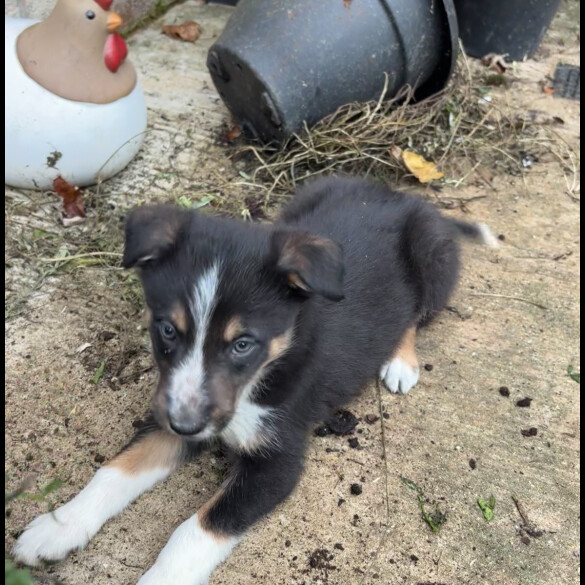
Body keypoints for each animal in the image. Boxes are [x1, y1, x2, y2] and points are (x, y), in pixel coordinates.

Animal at [13, 176, 496, 580]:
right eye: (167, 330)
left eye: (243, 344)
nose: (185, 425)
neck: (266, 371)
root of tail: (403, 197)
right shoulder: (168, 412)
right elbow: (114, 471)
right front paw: (59, 525)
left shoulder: (278, 461)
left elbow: (197, 528)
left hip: (432, 260)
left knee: (416, 312)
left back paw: (400, 361)